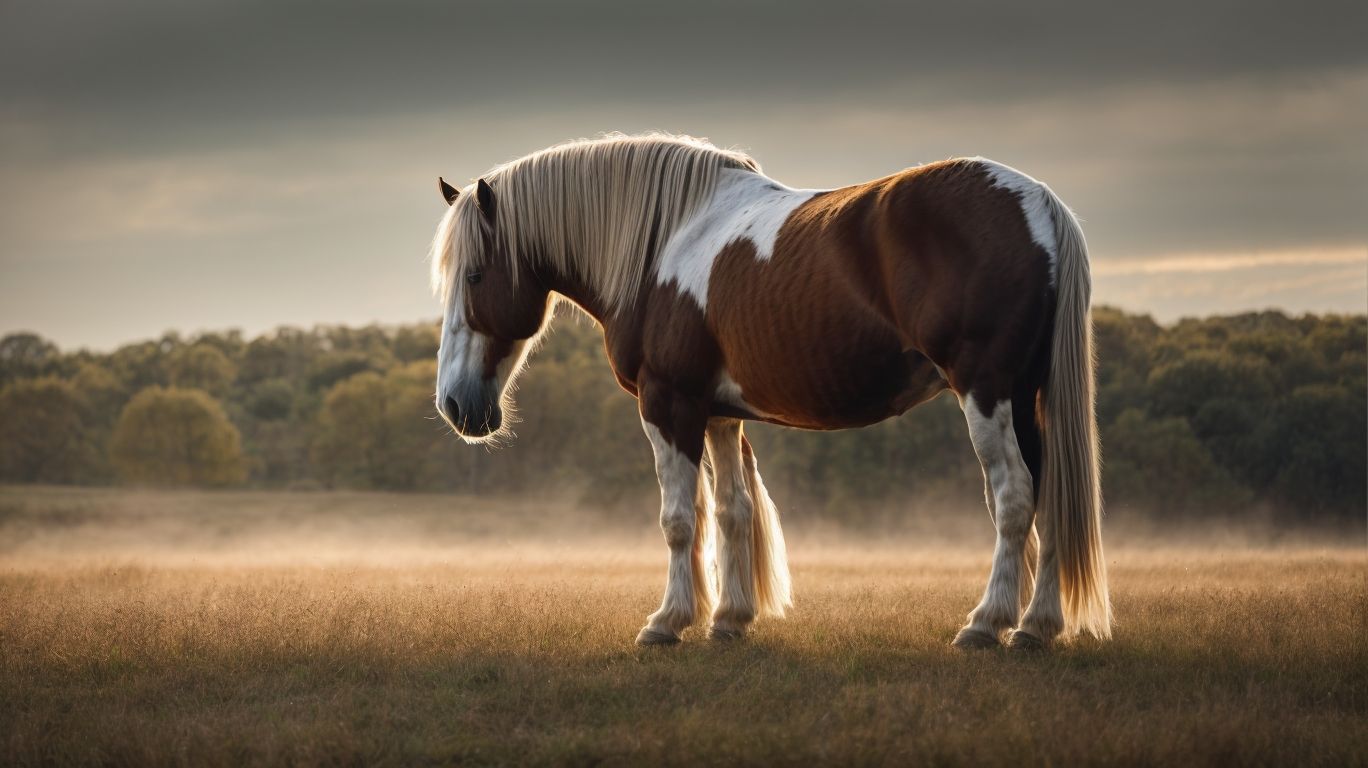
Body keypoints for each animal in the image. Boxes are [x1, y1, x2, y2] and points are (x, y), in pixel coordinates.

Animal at [429, 133, 1110, 649]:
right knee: (1050, 494)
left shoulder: (668, 405)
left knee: (1015, 497)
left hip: (987, 391)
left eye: (475, 275)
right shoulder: (718, 414)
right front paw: (728, 621)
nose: (456, 406)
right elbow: (733, 510)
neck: (663, 241)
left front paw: (666, 622)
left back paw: (986, 625)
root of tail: (1038, 203)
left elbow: (680, 518)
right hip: (1026, 398)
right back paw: (1035, 628)